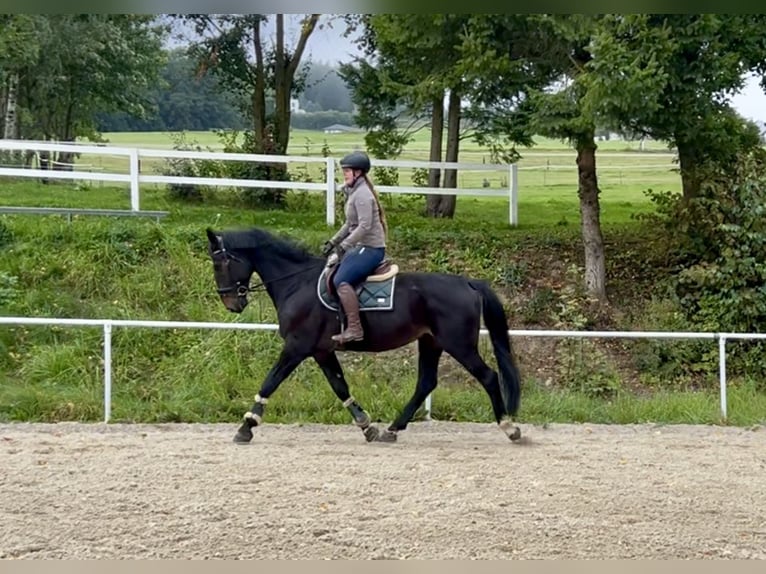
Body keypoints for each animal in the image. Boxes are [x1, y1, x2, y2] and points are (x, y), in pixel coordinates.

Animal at [205, 226, 523, 444]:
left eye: (219, 263)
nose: (231, 303)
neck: (297, 283)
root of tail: (468, 282)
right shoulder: (321, 351)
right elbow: (340, 387)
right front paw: (367, 426)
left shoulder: (296, 347)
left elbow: (270, 382)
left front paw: (246, 426)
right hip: (431, 342)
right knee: (426, 382)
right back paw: (392, 429)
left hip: (459, 344)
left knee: (488, 377)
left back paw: (509, 427)